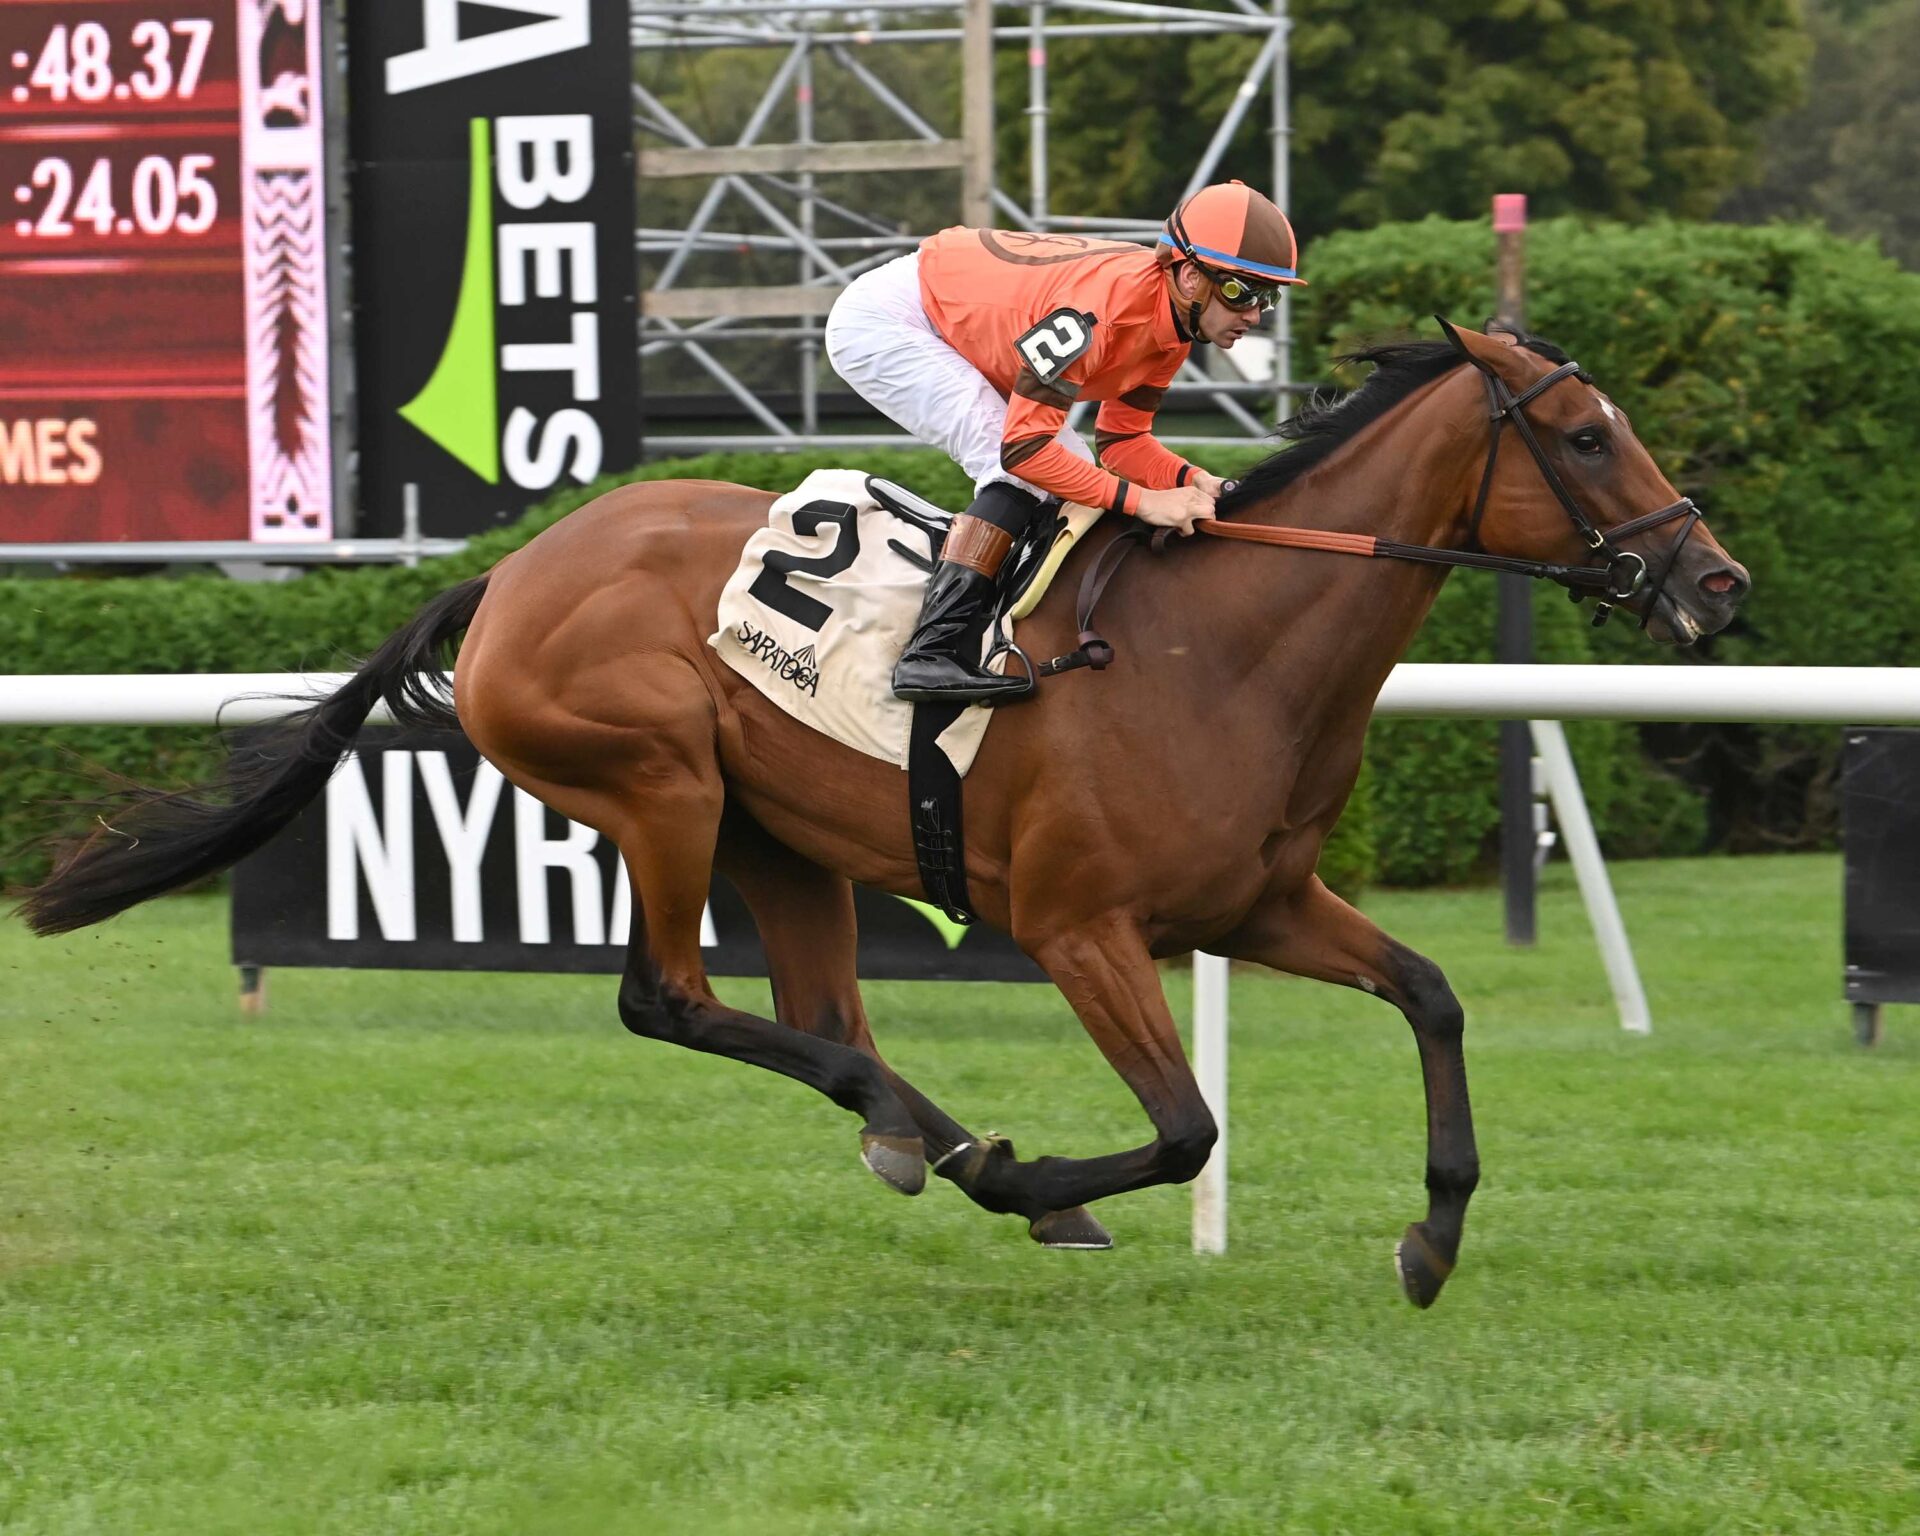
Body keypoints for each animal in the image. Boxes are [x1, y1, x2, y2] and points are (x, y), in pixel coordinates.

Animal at [18, 320, 1749, 1308]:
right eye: (1584, 434)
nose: (1716, 579)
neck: (1219, 649)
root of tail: (507, 572)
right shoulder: (1078, 926)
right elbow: (1185, 1123)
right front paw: (1038, 1184)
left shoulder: (1256, 904)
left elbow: (1436, 995)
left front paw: (1432, 1240)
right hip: (660, 784)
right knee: (672, 999)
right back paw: (955, 1150)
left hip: (775, 837)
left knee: (813, 1009)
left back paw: (921, 1130)